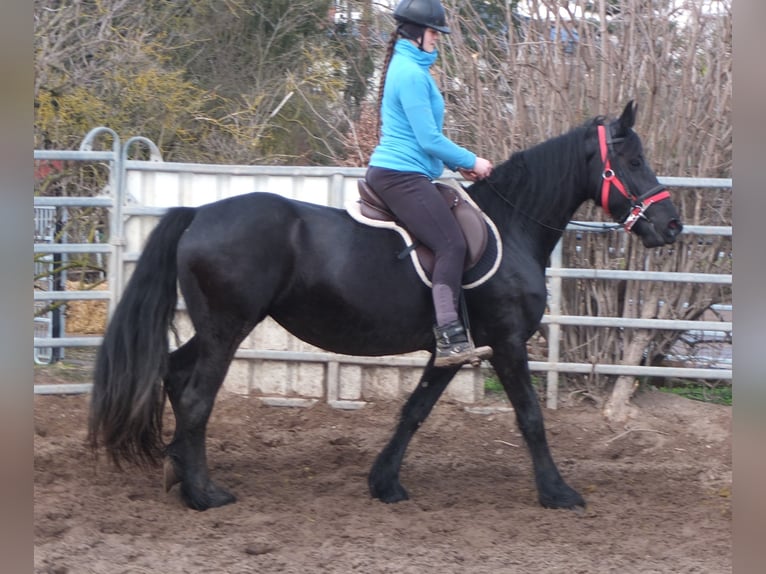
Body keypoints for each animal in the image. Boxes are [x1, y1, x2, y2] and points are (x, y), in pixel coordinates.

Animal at [88, 102, 684, 512]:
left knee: (173, 372)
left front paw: (385, 482)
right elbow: (531, 417)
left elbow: (414, 411)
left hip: (217, 327)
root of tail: (197, 213)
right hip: (228, 328)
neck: (511, 226)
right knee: (195, 398)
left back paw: (177, 473)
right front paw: (558, 492)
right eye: (632, 160)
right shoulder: (507, 342)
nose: (672, 224)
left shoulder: (454, 349)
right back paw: (204, 494)